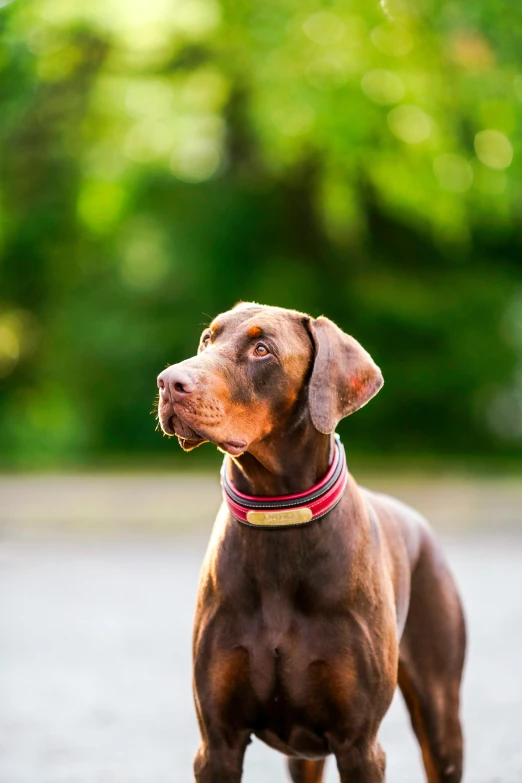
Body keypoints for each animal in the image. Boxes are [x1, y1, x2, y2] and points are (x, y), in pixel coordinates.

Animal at [156, 304, 466, 783]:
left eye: (262, 349)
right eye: (208, 339)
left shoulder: (359, 745)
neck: (279, 516)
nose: (169, 382)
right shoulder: (217, 744)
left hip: (441, 713)